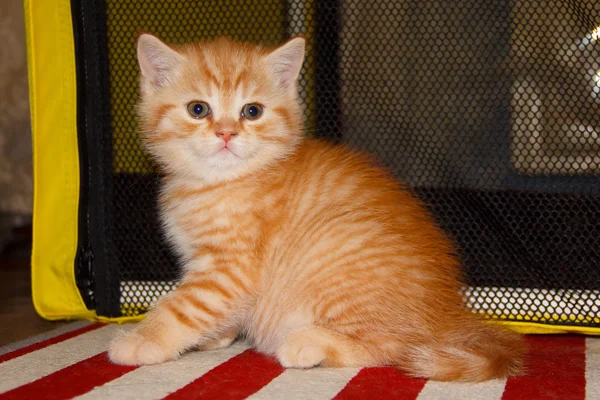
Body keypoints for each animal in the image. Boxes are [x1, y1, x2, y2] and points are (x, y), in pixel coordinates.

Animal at [109, 34, 524, 382]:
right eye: (198, 109)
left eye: (252, 111)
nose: (227, 133)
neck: (219, 181)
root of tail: (449, 314)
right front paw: (217, 335)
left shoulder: (230, 267)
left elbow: (184, 306)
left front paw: (144, 339)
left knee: (395, 348)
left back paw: (309, 343)